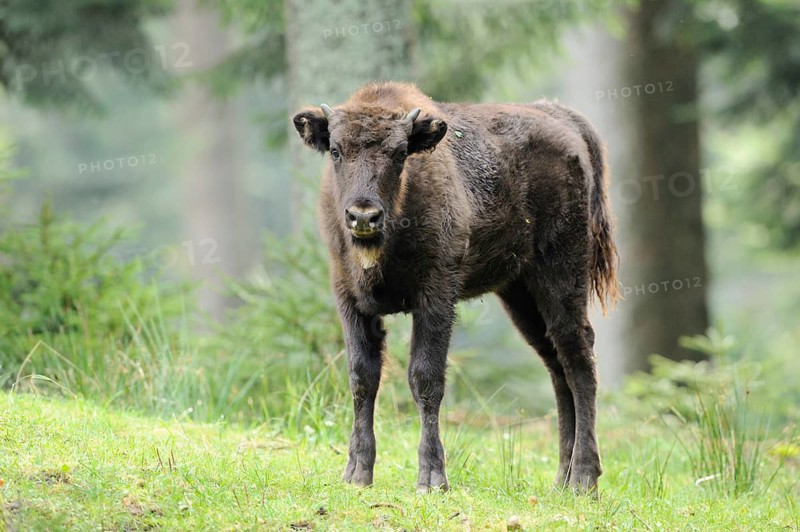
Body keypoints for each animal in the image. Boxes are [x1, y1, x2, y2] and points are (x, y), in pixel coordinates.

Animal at [291, 81, 618, 493]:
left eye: (400, 153)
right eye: (335, 150)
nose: (363, 216)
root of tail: (561, 118)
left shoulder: (435, 297)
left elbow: (425, 377)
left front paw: (432, 478)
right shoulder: (349, 299)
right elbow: (362, 377)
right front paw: (357, 474)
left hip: (561, 276)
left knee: (578, 360)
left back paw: (583, 480)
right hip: (521, 294)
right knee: (557, 366)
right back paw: (561, 478)